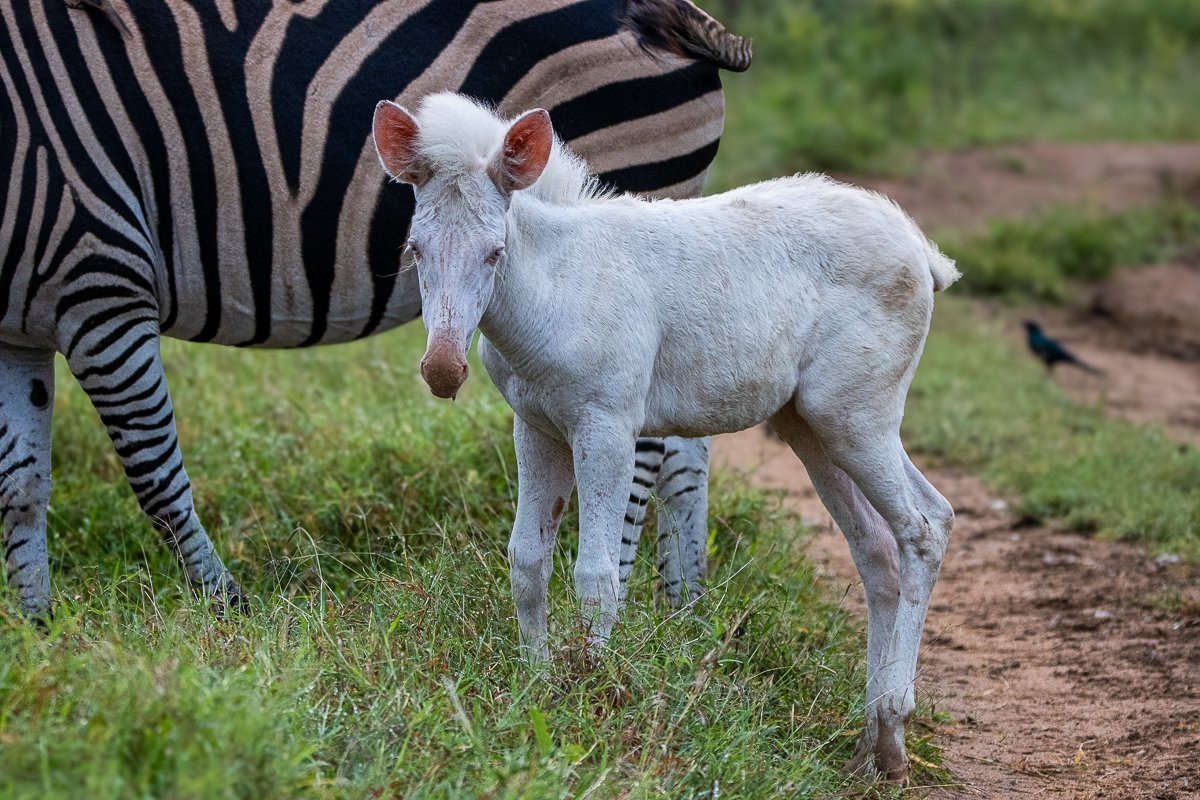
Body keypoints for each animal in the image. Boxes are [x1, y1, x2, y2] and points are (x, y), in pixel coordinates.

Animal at [0, 0, 750, 620]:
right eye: (413, 250)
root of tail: (666, 11)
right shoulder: (17, 329)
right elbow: (20, 486)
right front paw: (38, 626)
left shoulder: (98, 276)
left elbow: (153, 474)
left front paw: (227, 615)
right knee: (687, 438)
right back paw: (683, 612)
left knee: (645, 447)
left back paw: (626, 599)